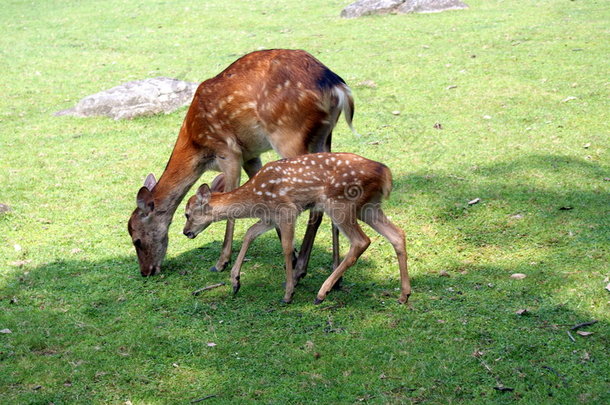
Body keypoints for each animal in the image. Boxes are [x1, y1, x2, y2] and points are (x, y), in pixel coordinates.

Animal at [127, 49, 352, 276]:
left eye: (137, 240)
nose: (145, 271)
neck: (196, 145)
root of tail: (338, 87)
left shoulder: (229, 152)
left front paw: (221, 262)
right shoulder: (250, 156)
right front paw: (290, 252)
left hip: (289, 135)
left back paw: (301, 269)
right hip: (324, 138)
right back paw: (334, 270)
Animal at [180, 152, 408, 304]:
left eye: (187, 214)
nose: (186, 232)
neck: (255, 198)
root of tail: (386, 173)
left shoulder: (286, 210)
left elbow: (287, 248)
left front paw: (288, 294)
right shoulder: (269, 218)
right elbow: (249, 234)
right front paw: (235, 281)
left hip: (340, 203)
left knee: (361, 241)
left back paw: (322, 293)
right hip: (369, 207)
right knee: (397, 234)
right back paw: (404, 295)